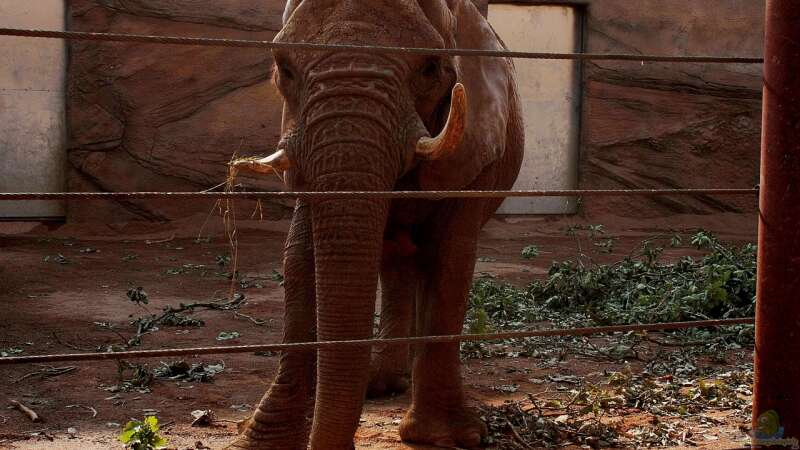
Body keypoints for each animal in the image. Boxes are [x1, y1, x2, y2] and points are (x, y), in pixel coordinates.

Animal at [227, 0, 524, 448]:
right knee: (396, 265)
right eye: (284, 68)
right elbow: (299, 261)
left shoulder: (474, 155)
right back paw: (379, 383)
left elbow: (451, 261)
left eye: (430, 68)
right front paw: (257, 441)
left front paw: (448, 437)